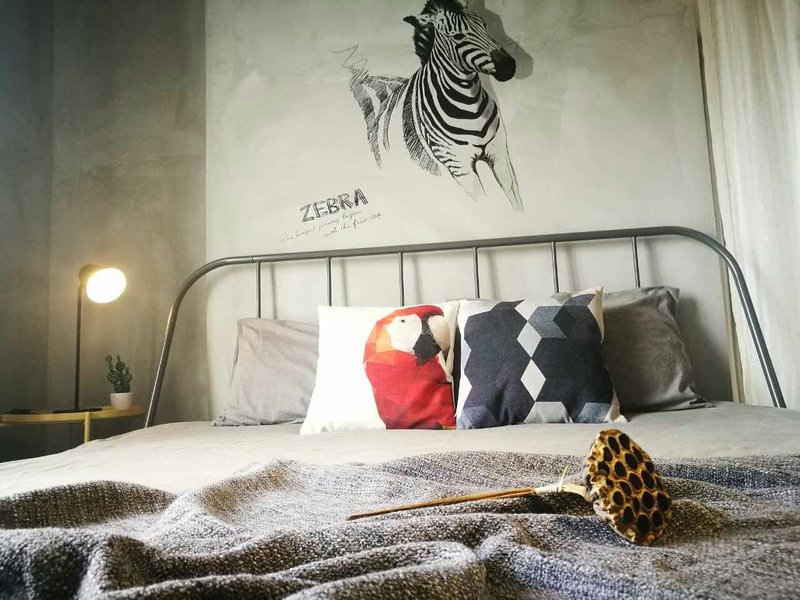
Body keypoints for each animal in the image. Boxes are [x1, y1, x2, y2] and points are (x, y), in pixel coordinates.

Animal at [347, 0, 523, 211]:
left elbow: (516, 201)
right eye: (458, 37)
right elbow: (481, 202)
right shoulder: (460, 166)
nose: (508, 66)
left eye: (484, 25)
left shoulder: (500, 155)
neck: (469, 104)